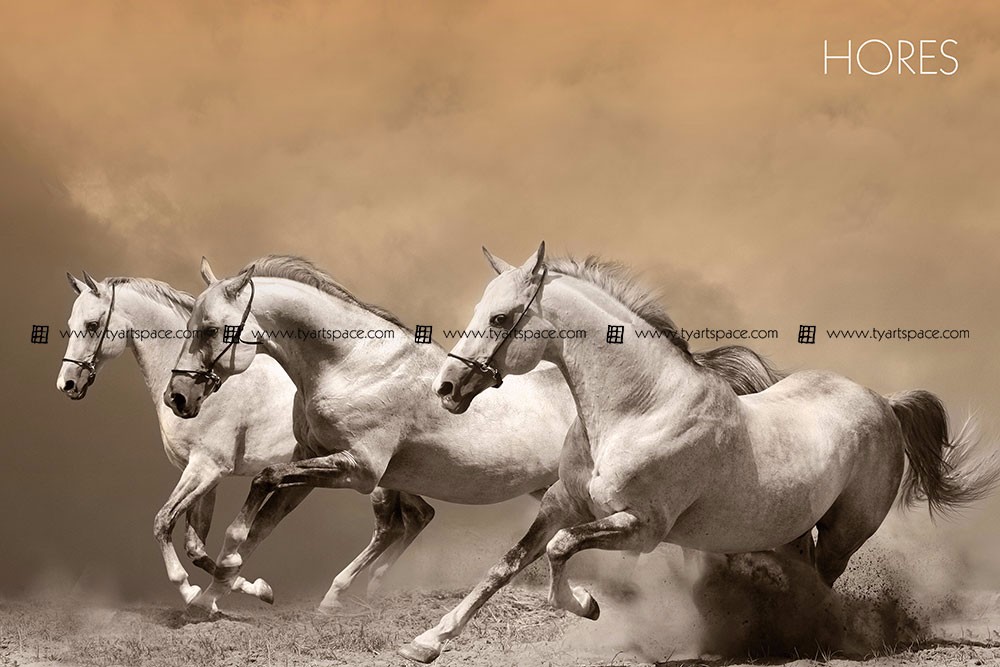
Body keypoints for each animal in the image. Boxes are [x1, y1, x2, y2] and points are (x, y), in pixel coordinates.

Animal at [164, 255, 784, 614]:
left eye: (213, 329)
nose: (179, 397)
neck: (351, 364)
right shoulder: (319, 462)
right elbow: (253, 520)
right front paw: (224, 589)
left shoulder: (357, 469)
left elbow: (260, 489)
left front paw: (225, 581)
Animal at [400, 243, 1000, 663]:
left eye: (501, 318)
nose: (447, 388)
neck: (639, 409)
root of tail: (883, 402)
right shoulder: (560, 504)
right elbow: (506, 565)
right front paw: (426, 642)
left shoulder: (641, 527)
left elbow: (560, 549)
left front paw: (587, 606)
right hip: (789, 529)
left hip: (844, 531)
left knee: (823, 583)